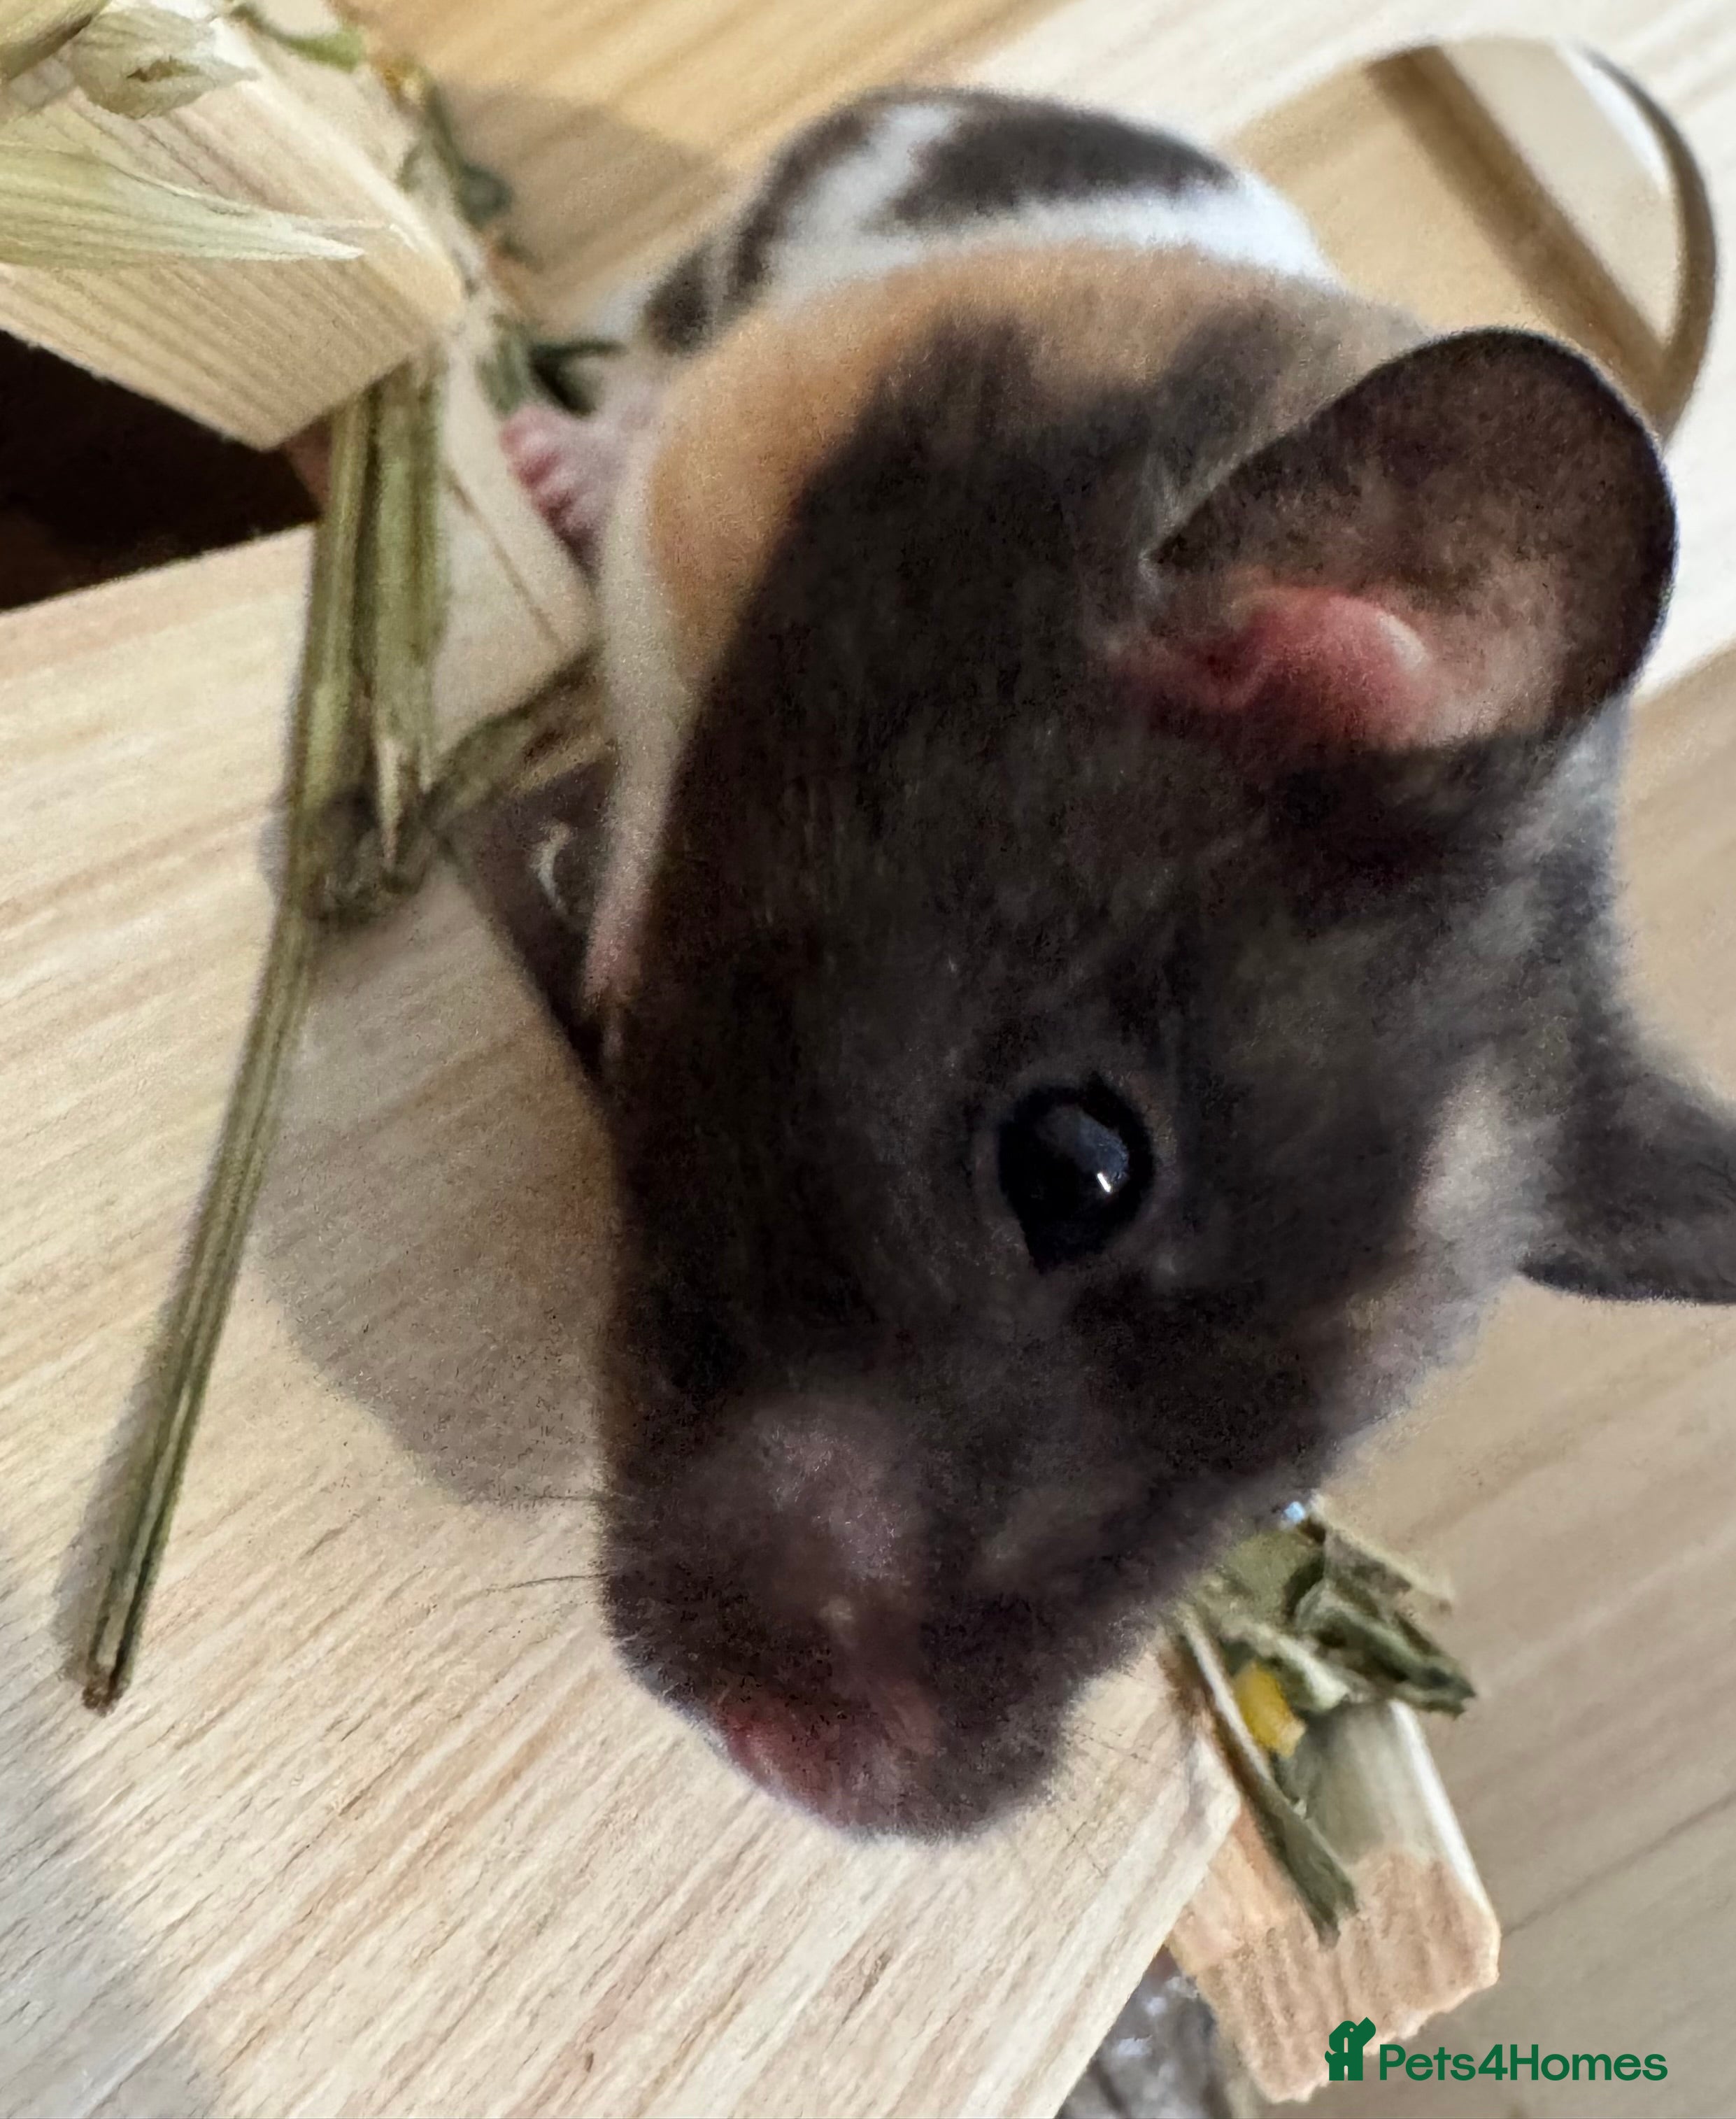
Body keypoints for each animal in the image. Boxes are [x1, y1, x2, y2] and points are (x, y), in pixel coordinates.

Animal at [502, 88, 1726, 1838]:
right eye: (1071, 1162)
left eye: (1292, 1482)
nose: (794, 1761)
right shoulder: (730, 465)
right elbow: (658, 699)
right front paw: (610, 960)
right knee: (640, 367)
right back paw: (549, 457)